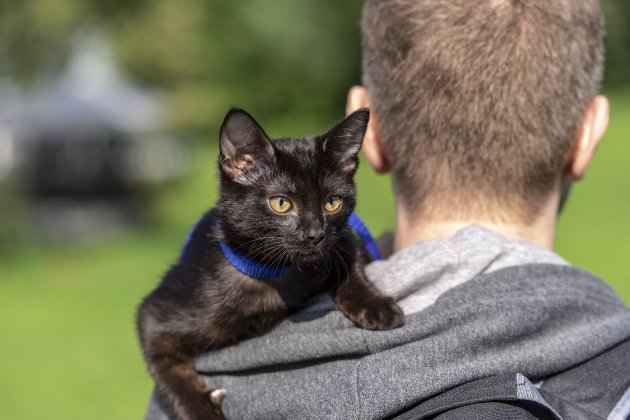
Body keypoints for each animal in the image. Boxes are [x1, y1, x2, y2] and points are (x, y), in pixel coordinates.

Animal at [138, 108, 404, 420]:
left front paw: (374, 305)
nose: (316, 234)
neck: (274, 273)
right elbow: (174, 378)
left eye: (332, 203)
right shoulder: (155, 317)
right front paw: (203, 411)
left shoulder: (345, 238)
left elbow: (351, 265)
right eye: (281, 203)